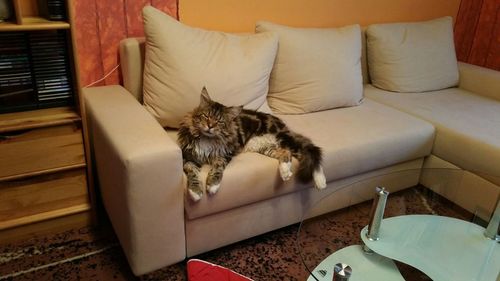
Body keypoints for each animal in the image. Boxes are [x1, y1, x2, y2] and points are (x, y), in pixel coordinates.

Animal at [178, 87, 326, 201]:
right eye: (206, 116)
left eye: (219, 121)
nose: (210, 126)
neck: (208, 139)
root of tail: (282, 124)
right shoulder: (188, 157)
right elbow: (192, 172)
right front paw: (195, 192)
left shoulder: (224, 155)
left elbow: (217, 169)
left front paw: (212, 185)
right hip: (266, 147)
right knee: (287, 153)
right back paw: (285, 172)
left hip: (283, 138)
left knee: (309, 150)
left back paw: (320, 182)